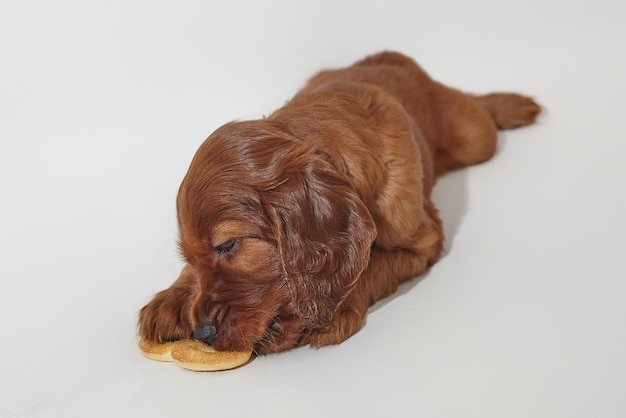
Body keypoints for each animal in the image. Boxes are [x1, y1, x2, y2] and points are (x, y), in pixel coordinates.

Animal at [139, 50, 540, 354]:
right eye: (189, 258)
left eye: (228, 245)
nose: (202, 334)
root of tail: (389, 56)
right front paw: (171, 300)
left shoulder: (421, 242)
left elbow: (371, 266)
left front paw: (329, 313)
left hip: (475, 138)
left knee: (475, 108)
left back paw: (511, 105)